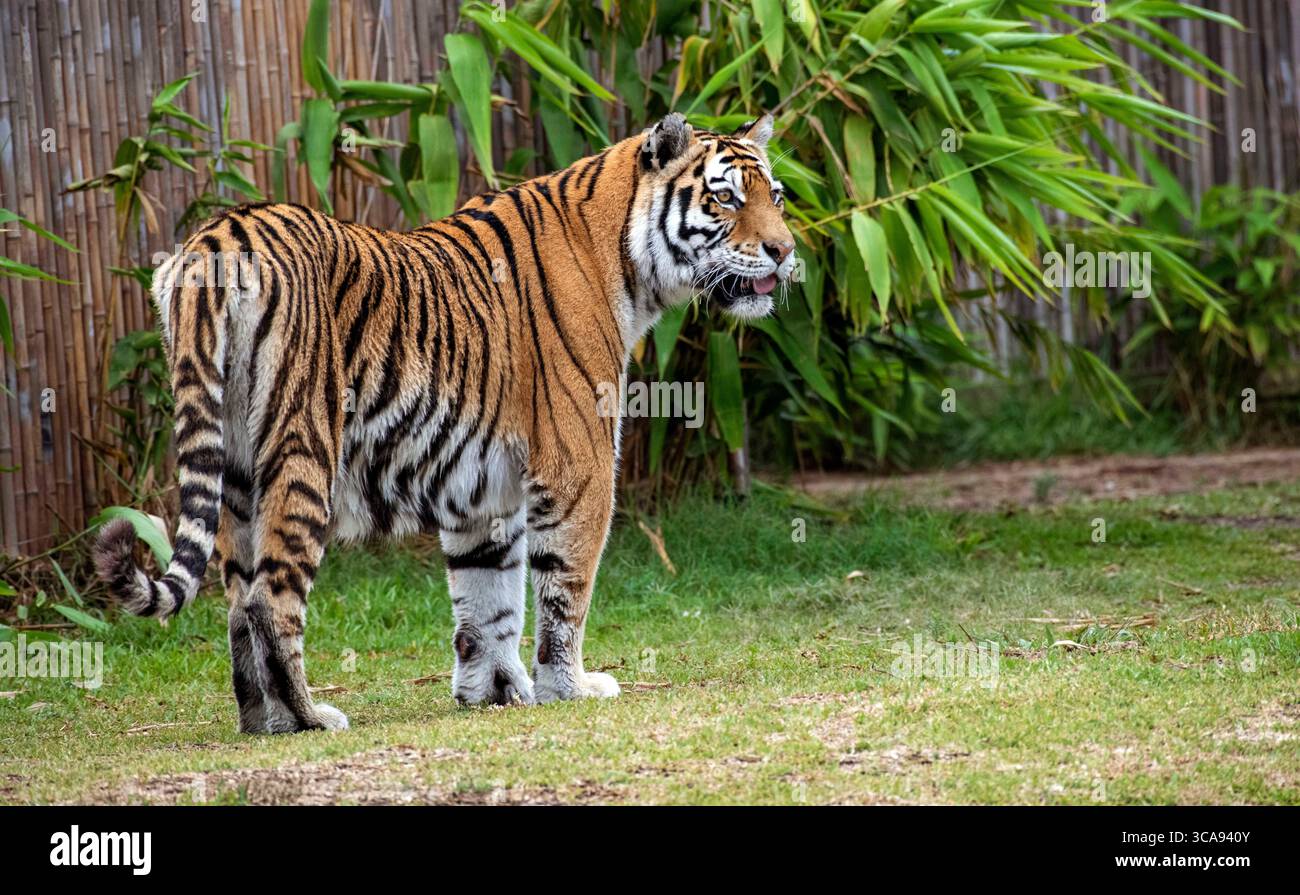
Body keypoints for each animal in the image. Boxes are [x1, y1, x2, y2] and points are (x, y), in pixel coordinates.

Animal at [94, 112, 796, 733]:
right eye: (725, 198)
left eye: (777, 197)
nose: (785, 251)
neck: (627, 262)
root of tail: (215, 236)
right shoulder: (581, 467)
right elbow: (564, 592)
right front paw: (568, 687)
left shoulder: (483, 488)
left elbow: (489, 600)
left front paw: (495, 692)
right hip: (303, 451)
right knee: (271, 598)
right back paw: (311, 717)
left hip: (235, 467)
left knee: (238, 600)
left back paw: (261, 722)